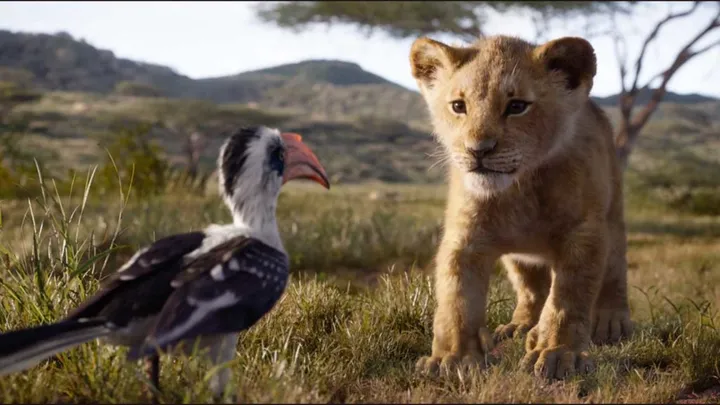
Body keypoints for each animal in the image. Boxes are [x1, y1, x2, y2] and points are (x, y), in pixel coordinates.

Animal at [408, 35, 633, 380]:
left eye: (516, 106)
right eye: (458, 106)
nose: (478, 150)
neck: (519, 189)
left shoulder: (584, 233)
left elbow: (568, 299)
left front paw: (557, 353)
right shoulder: (465, 237)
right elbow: (457, 298)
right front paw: (453, 359)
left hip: (613, 216)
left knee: (614, 269)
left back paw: (610, 322)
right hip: (518, 258)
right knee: (531, 289)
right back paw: (521, 326)